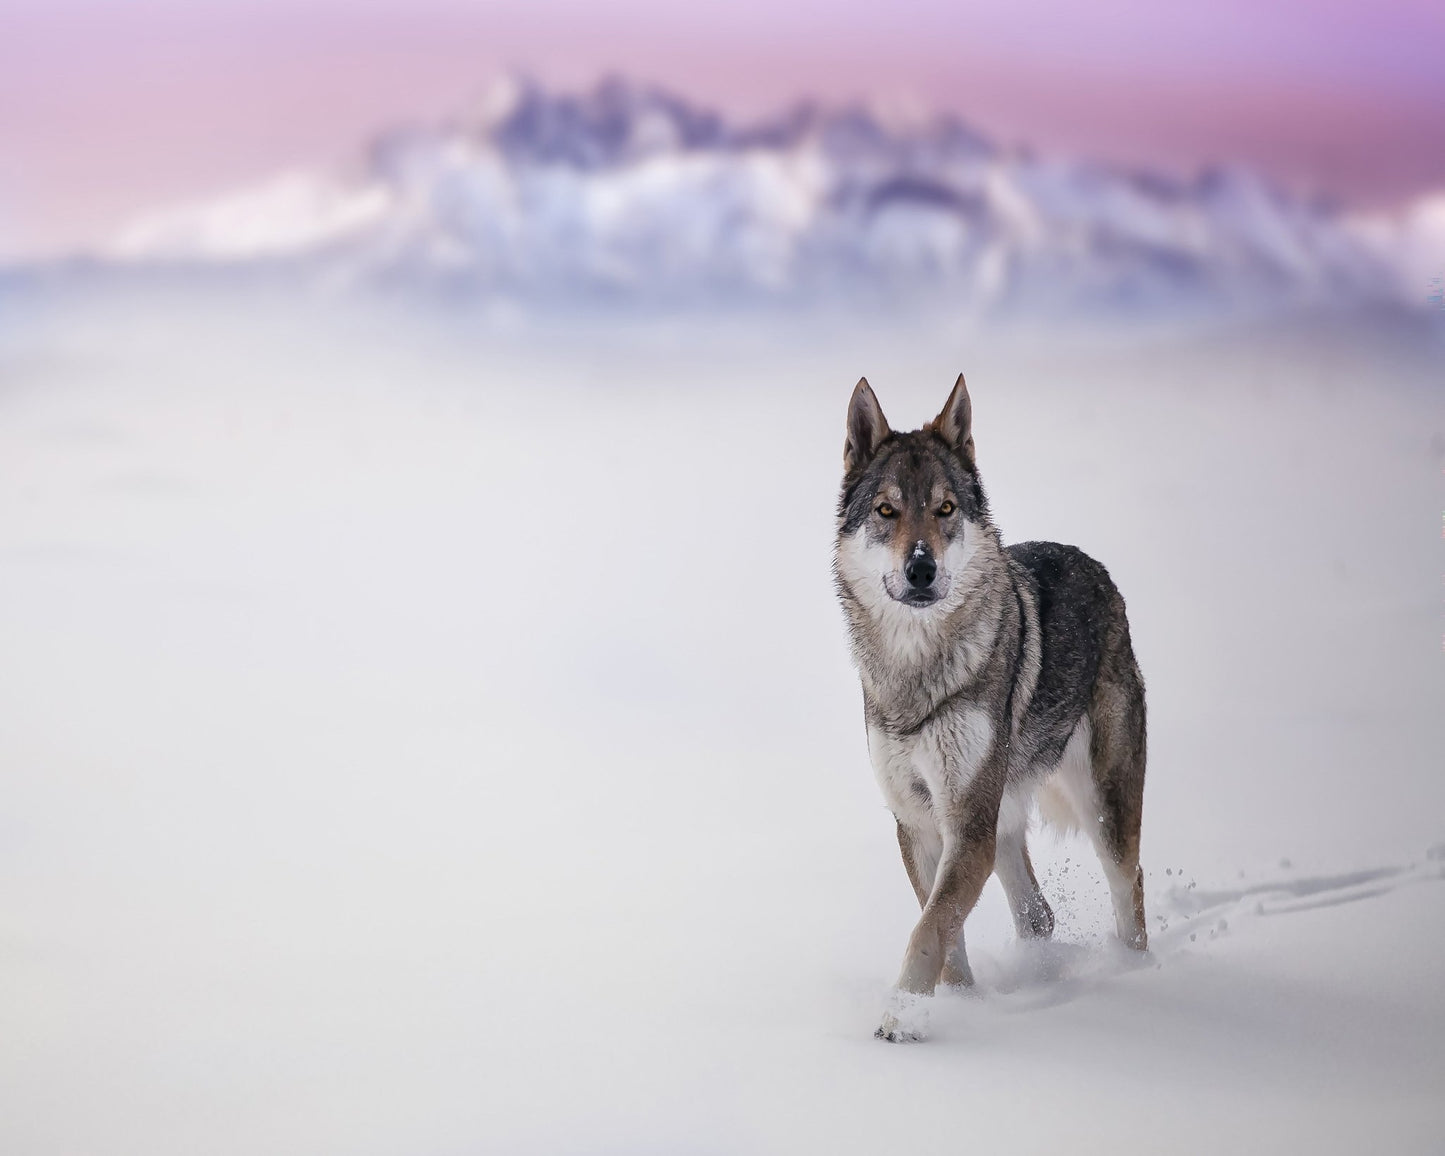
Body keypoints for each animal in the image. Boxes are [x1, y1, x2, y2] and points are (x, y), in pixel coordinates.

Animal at [833, 374, 1148, 1042]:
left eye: (946, 509)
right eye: (886, 511)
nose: (921, 568)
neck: (917, 674)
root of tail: (1099, 569)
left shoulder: (967, 827)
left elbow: (929, 928)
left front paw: (897, 1022)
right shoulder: (921, 824)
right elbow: (944, 931)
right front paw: (957, 1006)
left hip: (1101, 812)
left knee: (1129, 884)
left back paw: (1135, 974)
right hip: (1002, 826)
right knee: (1040, 914)